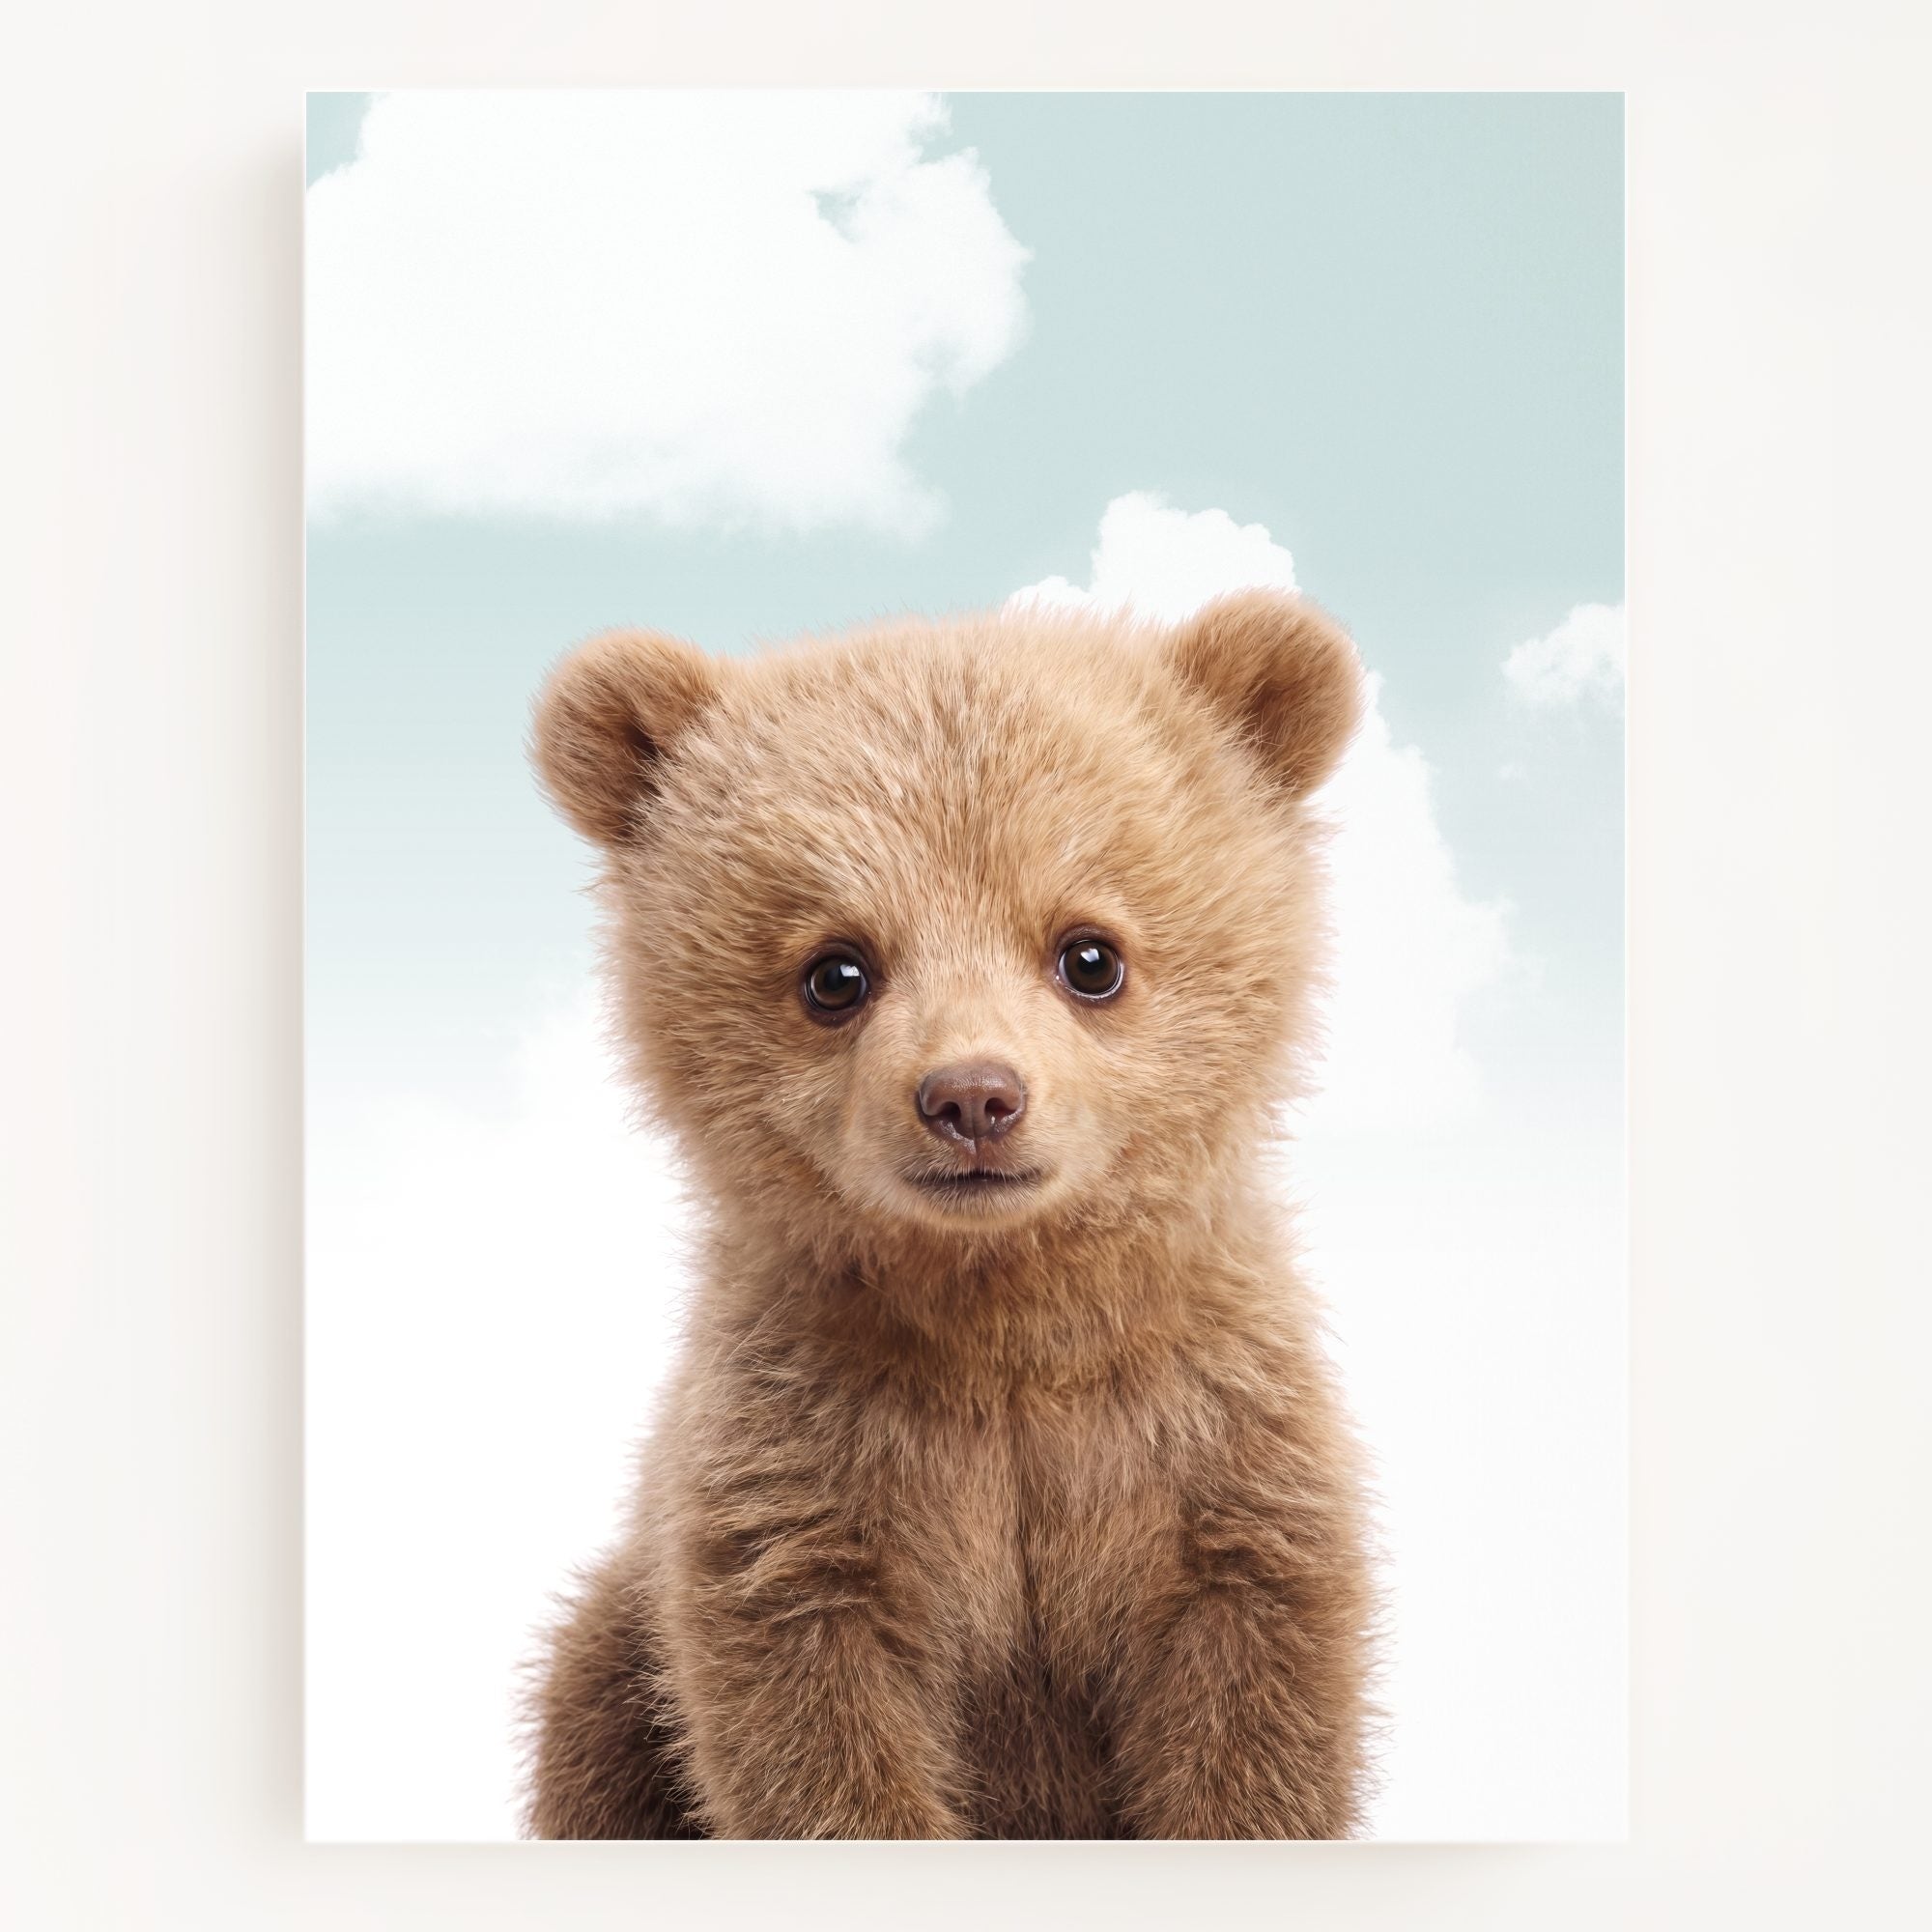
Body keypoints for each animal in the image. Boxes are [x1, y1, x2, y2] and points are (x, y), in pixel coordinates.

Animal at [522, 589, 1377, 1839]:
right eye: (834, 969)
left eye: (1088, 953)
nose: (972, 1095)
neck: (1001, 1318)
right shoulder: (804, 1473)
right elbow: (810, 1726)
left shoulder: (1207, 1448)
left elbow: (1251, 1708)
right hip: (615, 1658)